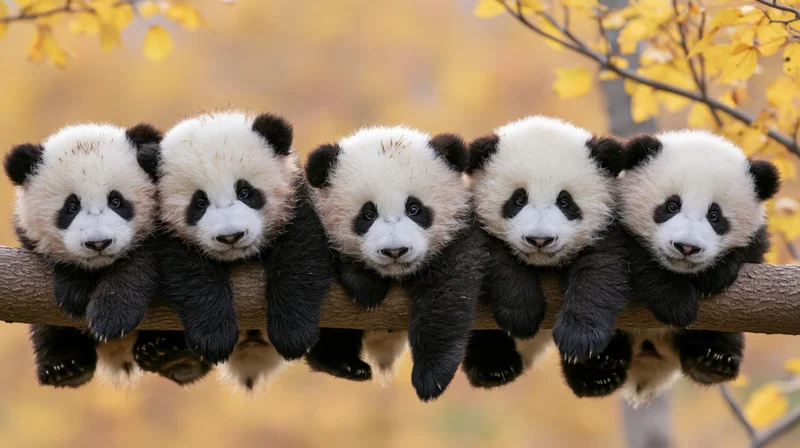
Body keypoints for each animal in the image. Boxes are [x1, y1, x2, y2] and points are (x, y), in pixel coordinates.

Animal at [4, 123, 162, 388]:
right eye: (71, 207)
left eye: (116, 201)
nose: (98, 243)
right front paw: (76, 291)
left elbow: (143, 261)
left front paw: (113, 315)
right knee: (46, 329)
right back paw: (65, 366)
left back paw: (167, 353)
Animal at [146, 111, 335, 391]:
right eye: (199, 203)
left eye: (245, 191)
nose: (230, 236)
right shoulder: (165, 234)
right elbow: (188, 271)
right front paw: (214, 338)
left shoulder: (297, 205)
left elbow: (302, 258)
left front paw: (294, 334)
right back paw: (167, 355)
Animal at [303, 126, 487, 401]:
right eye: (368, 214)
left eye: (414, 208)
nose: (395, 251)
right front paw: (365, 286)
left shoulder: (458, 239)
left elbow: (446, 298)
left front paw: (430, 377)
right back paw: (343, 363)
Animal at [461, 115, 631, 388]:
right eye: (518, 199)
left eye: (565, 201)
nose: (539, 239)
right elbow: (494, 258)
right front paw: (521, 314)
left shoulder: (609, 229)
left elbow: (601, 271)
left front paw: (579, 340)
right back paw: (494, 366)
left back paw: (600, 372)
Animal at [561, 130, 779, 406]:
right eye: (671, 206)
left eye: (715, 216)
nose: (686, 247)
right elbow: (632, 261)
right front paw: (677, 303)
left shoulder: (756, 240)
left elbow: (752, 249)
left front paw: (713, 276)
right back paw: (598, 370)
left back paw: (712, 362)